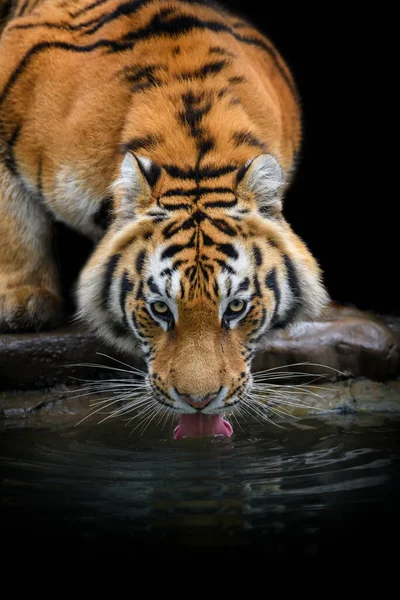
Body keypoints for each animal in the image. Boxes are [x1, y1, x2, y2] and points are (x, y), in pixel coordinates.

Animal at [0, 2, 328, 438]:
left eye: (235, 308)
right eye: (159, 309)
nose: (199, 402)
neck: (193, 152)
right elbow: (12, 219)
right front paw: (23, 304)